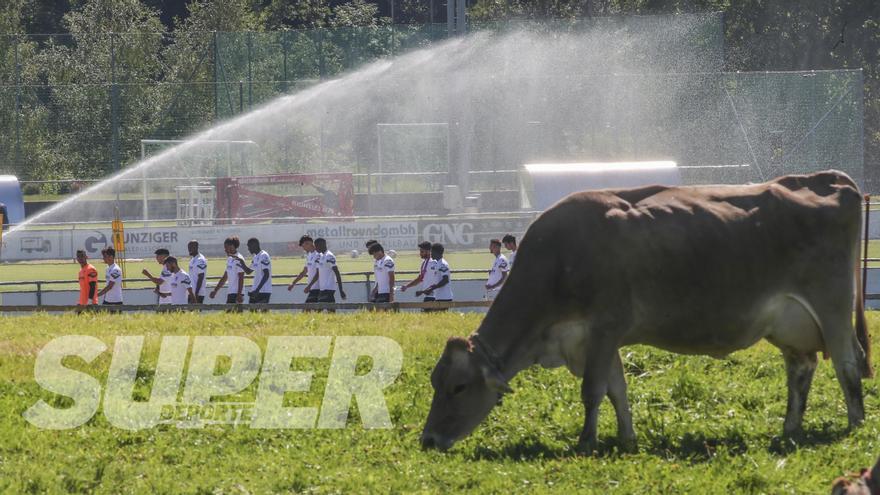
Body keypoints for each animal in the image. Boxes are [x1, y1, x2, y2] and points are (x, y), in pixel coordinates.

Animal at [422, 170, 868, 454]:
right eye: (435, 381)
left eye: (458, 386)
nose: (427, 440)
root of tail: (829, 179)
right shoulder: (599, 339)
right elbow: (617, 390)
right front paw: (626, 438)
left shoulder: (605, 327)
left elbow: (593, 391)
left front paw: (587, 441)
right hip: (790, 325)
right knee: (801, 369)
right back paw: (790, 429)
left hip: (832, 308)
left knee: (847, 363)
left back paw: (856, 425)